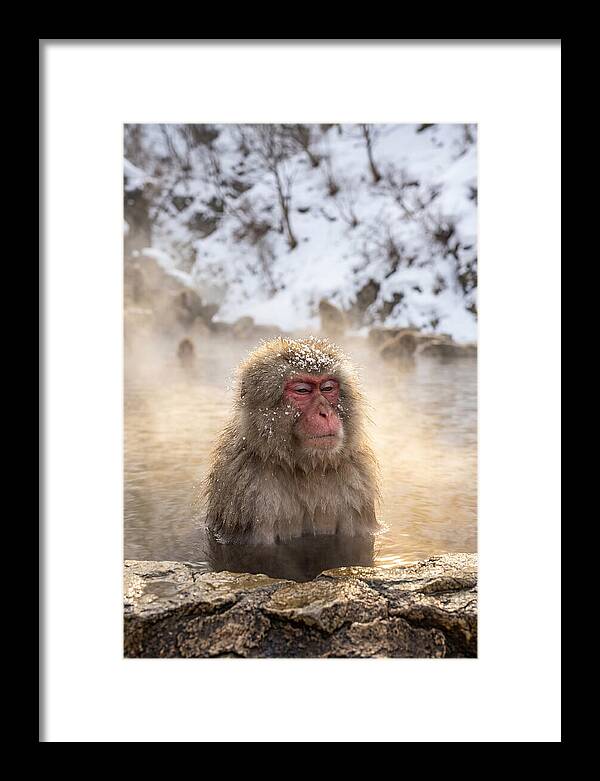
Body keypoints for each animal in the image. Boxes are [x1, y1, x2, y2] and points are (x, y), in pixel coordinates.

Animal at [205, 336, 380, 544]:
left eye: (328, 388)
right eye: (302, 390)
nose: (325, 413)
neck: (307, 468)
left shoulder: (357, 483)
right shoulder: (247, 492)